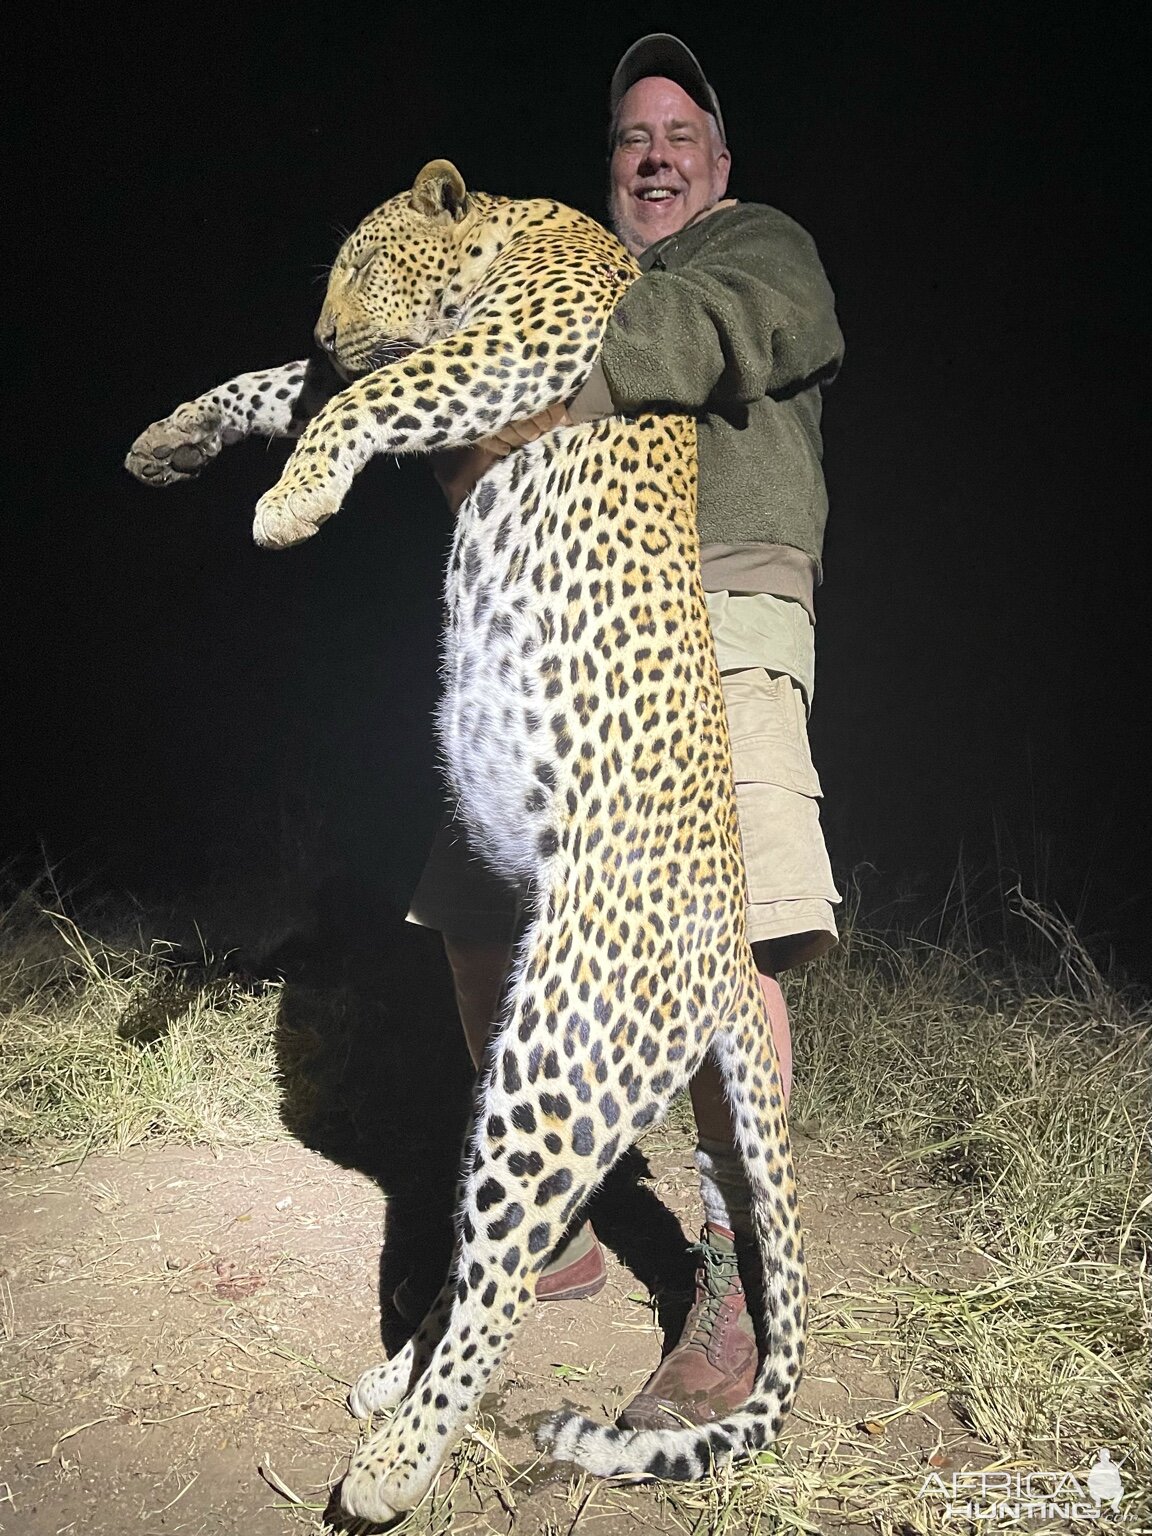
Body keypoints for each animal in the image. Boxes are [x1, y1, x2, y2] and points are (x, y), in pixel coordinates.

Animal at [125, 158, 804, 1523]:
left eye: (357, 263)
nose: (326, 322)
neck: (517, 234)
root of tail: (725, 960)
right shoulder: (422, 373)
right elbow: (288, 386)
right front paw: (171, 440)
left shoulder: (515, 354)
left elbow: (364, 394)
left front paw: (288, 502)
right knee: (492, 1254)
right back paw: (395, 1381)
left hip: (557, 1056)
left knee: (502, 1272)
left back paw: (396, 1460)